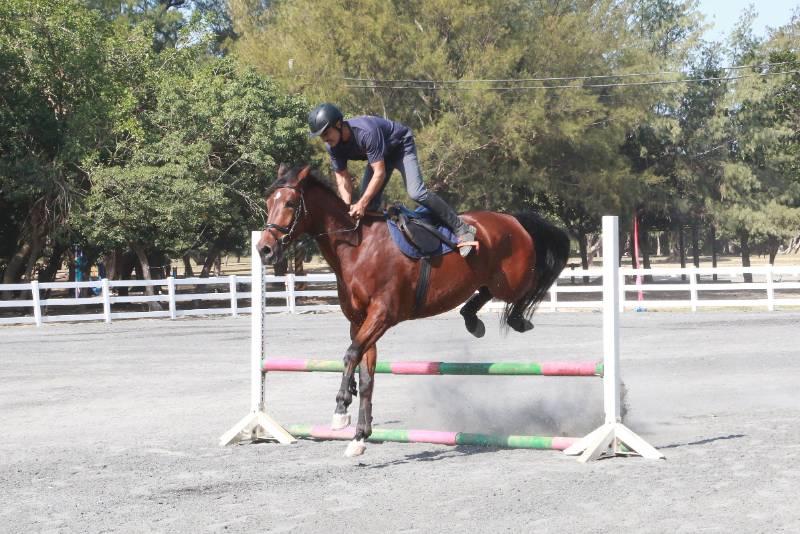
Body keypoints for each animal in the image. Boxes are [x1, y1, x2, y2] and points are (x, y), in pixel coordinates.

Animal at [258, 165, 568, 458]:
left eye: (290, 203)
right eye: (268, 201)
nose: (264, 249)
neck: (357, 249)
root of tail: (512, 219)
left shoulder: (381, 316)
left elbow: (350, 355)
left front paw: (341, 409)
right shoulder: (360, 322)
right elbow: (366, 374)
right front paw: (359, 437)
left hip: (511, 282)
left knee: (529, 286)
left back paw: (514, 318)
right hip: (491, 281)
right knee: (485, 293)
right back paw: (471, 319)